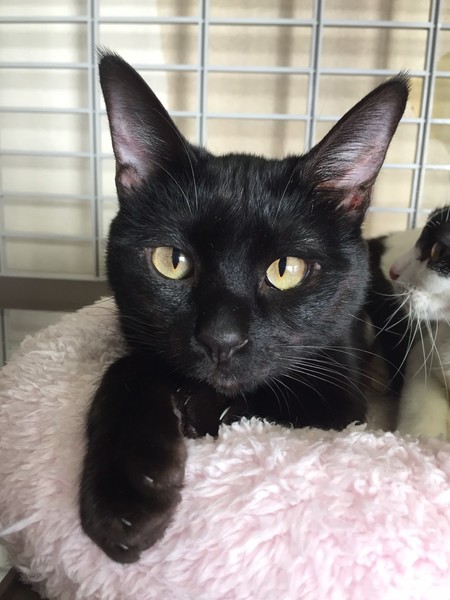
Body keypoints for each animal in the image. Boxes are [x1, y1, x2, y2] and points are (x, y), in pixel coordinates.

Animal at [79, 51, 408, 563]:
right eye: (172, 261)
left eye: (287, 269)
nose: (221, 339)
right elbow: (128, 369)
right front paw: (126, 492)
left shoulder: (337, 403)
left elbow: (246, 409)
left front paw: (195, 416)